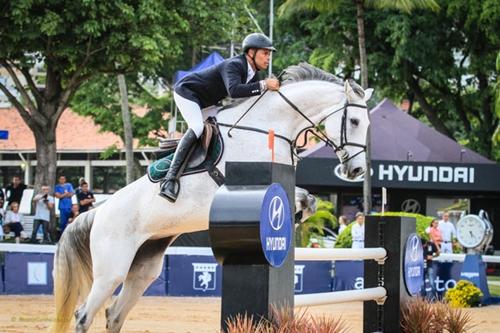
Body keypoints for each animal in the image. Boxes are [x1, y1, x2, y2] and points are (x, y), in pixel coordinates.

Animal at [50, 63, 374, 332]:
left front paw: (298, 215)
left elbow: (309, 199)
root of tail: (97, 213)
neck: (269, 126)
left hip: (144, 268)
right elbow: (298, 198)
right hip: (111, 268)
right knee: (84, 315)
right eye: (355, 121)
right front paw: (295, 213)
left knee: (114, 315)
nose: (357, 170)